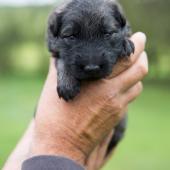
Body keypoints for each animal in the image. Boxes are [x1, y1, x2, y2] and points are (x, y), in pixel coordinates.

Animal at [46, 0, 134, 157]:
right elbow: (62, 60)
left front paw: (125, 42)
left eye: (107, 34)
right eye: (71, 37)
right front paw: (67, 83)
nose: (92, 67)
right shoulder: (55, 52)